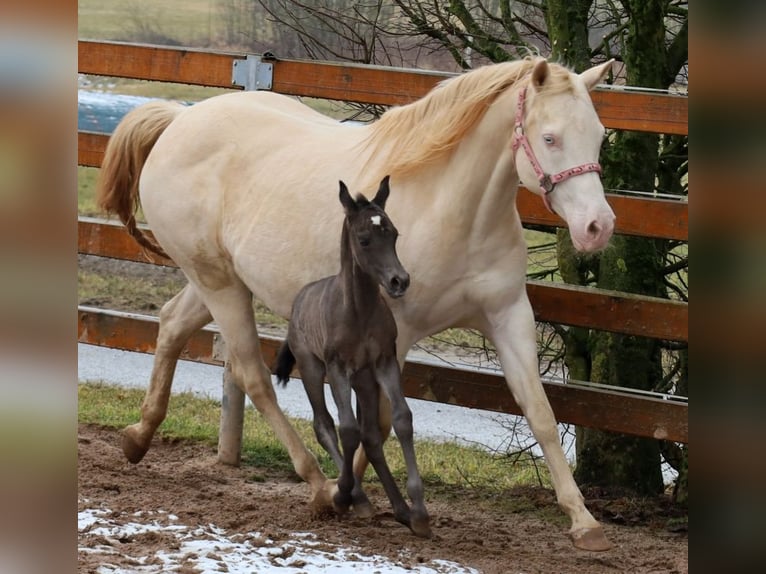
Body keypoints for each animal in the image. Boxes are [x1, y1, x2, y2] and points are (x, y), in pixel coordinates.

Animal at [274, 176, 432, 540]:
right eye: (364, 239)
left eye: (394, 234)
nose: (399, 281)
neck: (359, 311)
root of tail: (300, 299)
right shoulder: (337, 367)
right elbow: (346, 428)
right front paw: (344, 494)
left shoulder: (384, 362)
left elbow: (401, 419)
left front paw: (419, 512)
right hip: (312, 368)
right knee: (324, 425)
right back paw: (355, 498)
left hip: (364, 380)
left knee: (371, 435)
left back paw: (400, 509)